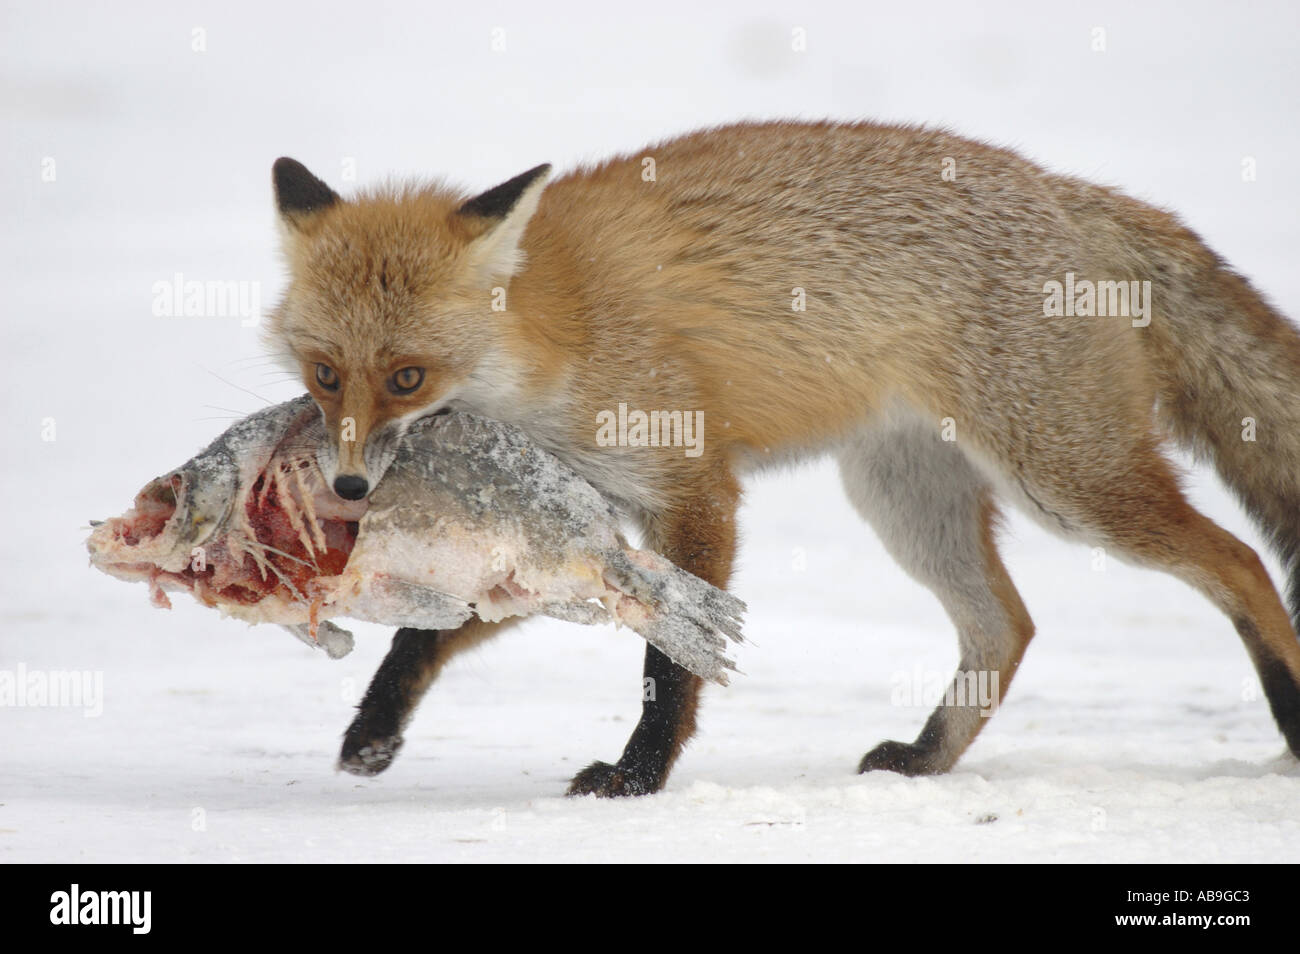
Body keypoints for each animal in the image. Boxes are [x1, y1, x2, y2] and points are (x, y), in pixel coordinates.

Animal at [263, 119, 1300, 795]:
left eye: (407, 377)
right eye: (324, 374)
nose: (348, 485)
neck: (557, 337)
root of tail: (1071, 190)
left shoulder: (691, 489)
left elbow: (671, 662)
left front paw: (637, 778)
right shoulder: (583, 524)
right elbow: (426, 638)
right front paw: (375, 730)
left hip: (1069, 483)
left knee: (1240, 561)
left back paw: (1291, 715)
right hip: (904, 500)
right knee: (1007, 627)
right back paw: (925, 759)